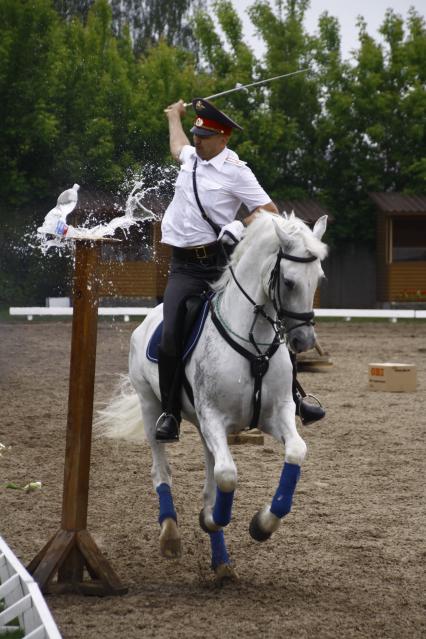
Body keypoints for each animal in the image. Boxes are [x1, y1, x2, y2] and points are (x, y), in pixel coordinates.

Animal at [97, 214, 330, 580]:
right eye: (289, 282)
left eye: (317, 278)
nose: (304, 341)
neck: (253, 341)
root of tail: (149, 319)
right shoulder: (214, 419)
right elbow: (227, 476)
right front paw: (211, 518)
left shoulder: (275, 414)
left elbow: (294, 452)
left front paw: (262, 524)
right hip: (152, 408)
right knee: (161, 470)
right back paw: (170, 535)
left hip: (204, 429)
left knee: (210, 477)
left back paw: (221, 563)